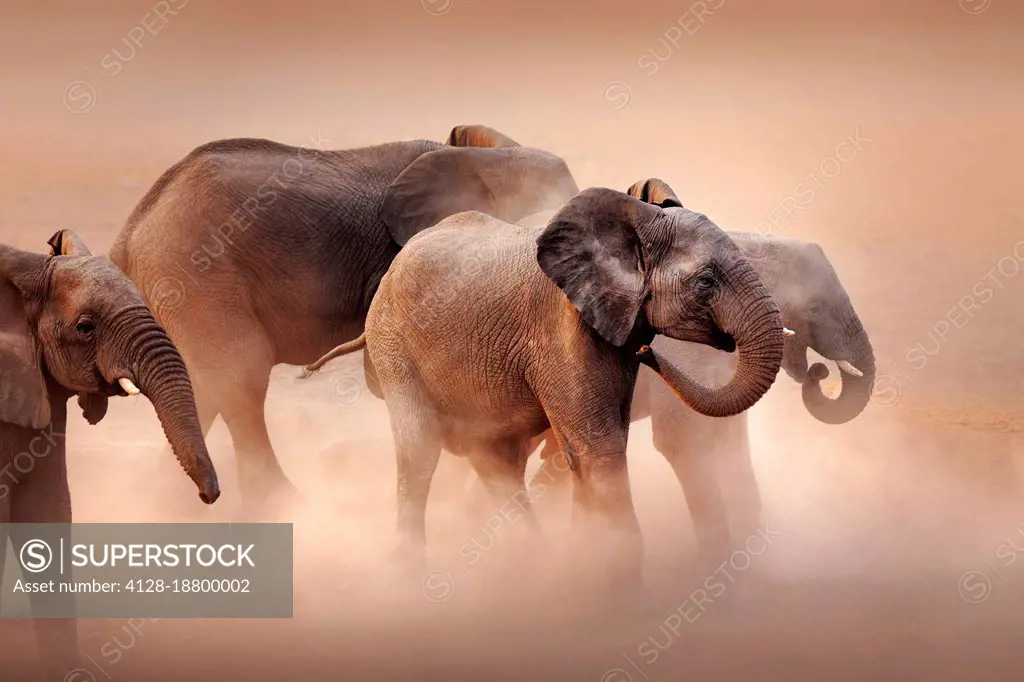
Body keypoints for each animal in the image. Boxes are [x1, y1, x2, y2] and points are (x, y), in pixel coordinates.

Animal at [100, 122, 581, 509]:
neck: (489, 156)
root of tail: (127, 237)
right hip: (196, 272)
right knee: (238, 375)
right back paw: (286, 505)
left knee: (205, 386)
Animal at [299, 186, 786, 593]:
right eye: (706, 282)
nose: (649, 350)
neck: (635, 219)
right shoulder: (560, 329)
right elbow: (597, 447)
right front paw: (619, 591)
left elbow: (594, 446)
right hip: (393, 345)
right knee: (419, 452)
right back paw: (411, 573)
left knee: (496, 459)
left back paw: (528, 564)